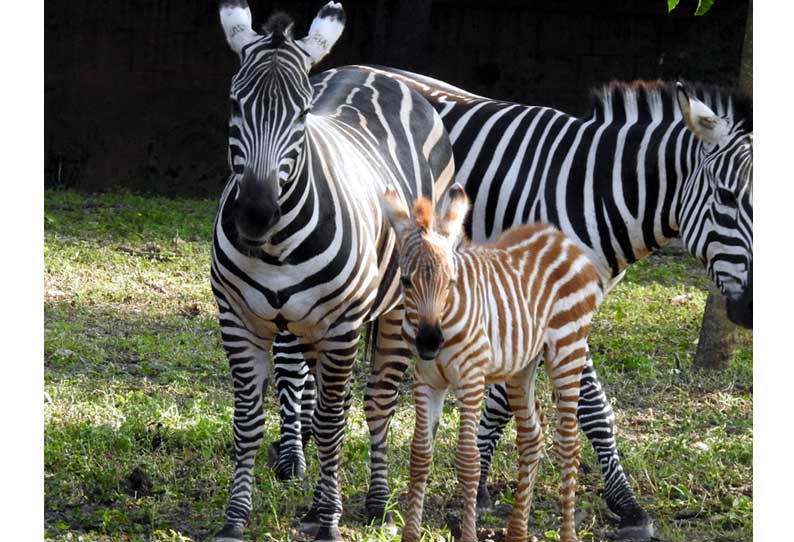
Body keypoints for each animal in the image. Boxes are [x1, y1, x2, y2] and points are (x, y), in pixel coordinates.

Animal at [207, 2, 454, 540]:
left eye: (301, 114)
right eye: (234, 105)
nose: (255, 213)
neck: (275, 247)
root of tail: (375, 72)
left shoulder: (342, 325)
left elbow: (333, 423)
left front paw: (331, 522)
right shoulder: (238, 320)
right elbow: (248, 422)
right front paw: (235, 518)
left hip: (397, 308)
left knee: (375, 401)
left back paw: (376, 502)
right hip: (311, 329)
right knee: (323, 399)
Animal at [382, 184, 600, 542]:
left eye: (451, 282)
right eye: (406, 282)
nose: (429, 342)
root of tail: (557, 235)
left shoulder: (470, 379)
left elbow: (468, 460)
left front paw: (469, 534)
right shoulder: (427, 380)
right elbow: (419, 454)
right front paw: (411, 535)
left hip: (567, 349)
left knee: (570, 443)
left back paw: (567, 534)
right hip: (522, 365)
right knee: (531, 435)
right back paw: (517, 531)